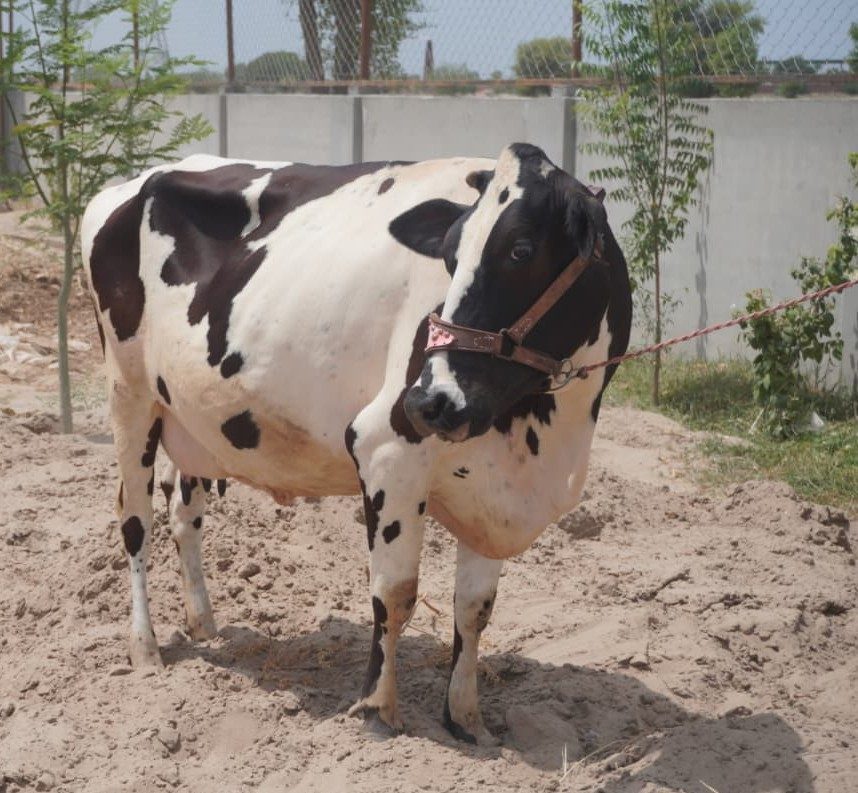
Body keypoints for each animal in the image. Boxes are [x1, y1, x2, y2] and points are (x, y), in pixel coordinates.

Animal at [81, 142, 632, 745]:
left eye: (521, 250)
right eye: (449, 254)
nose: (430, 399)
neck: (546, 436)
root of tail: (141, 178)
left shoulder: (496, 491)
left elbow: (475, 607)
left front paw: (466, 719)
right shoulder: (387, 447)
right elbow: (395, 591)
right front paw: (376, 709)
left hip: (193, 417)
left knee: (184, 512)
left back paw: (203, 623)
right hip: (127, 392)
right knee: (135, 519)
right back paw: (145, 647)